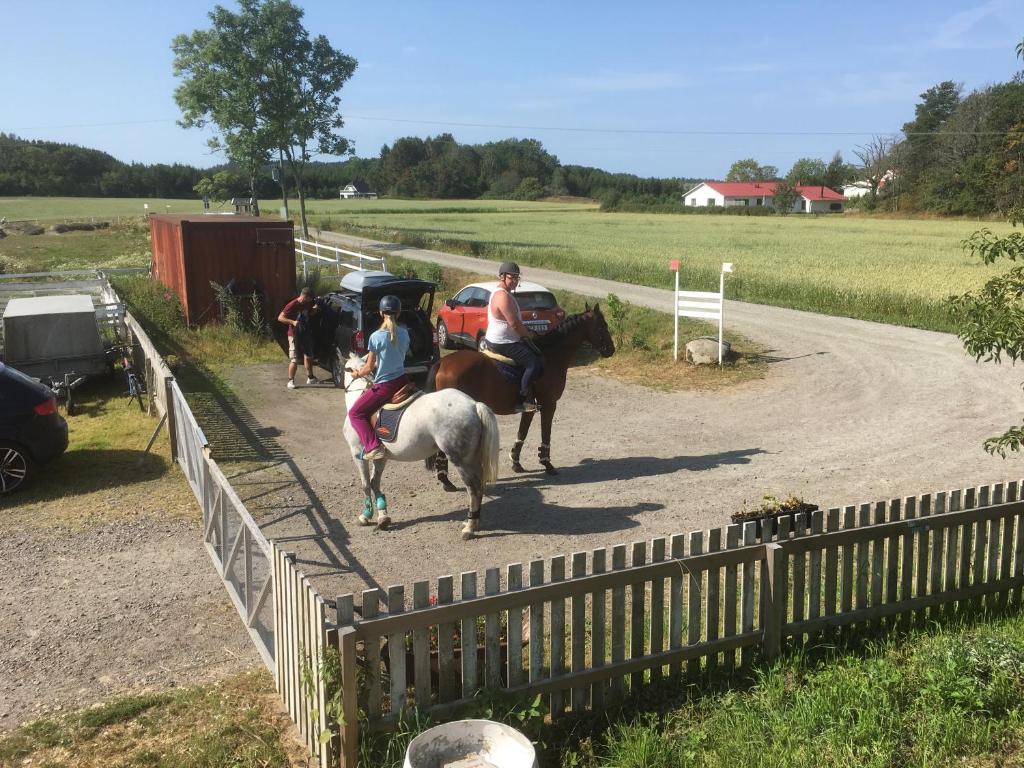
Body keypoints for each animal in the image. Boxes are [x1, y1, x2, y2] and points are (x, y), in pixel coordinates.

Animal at [344, 356, 499, 540]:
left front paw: (365, 516)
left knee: (473, 489)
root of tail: (473, 405)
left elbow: (366, 485)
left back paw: (469, 528)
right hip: (472, 458)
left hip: (461, 461)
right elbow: (375, 482)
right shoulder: (380, 457)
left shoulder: (357, 454)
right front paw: (383, 517)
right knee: (480, 487)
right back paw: (473, 521)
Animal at [425, 303, 614, 487]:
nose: (611, 350)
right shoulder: (549, 404)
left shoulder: (530, 408)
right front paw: (547, 464)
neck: (551, 356)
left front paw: (516, 462)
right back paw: (445, 480)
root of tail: (443, 363)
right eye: (602, 326)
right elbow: (546, 434)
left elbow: (522, 432)